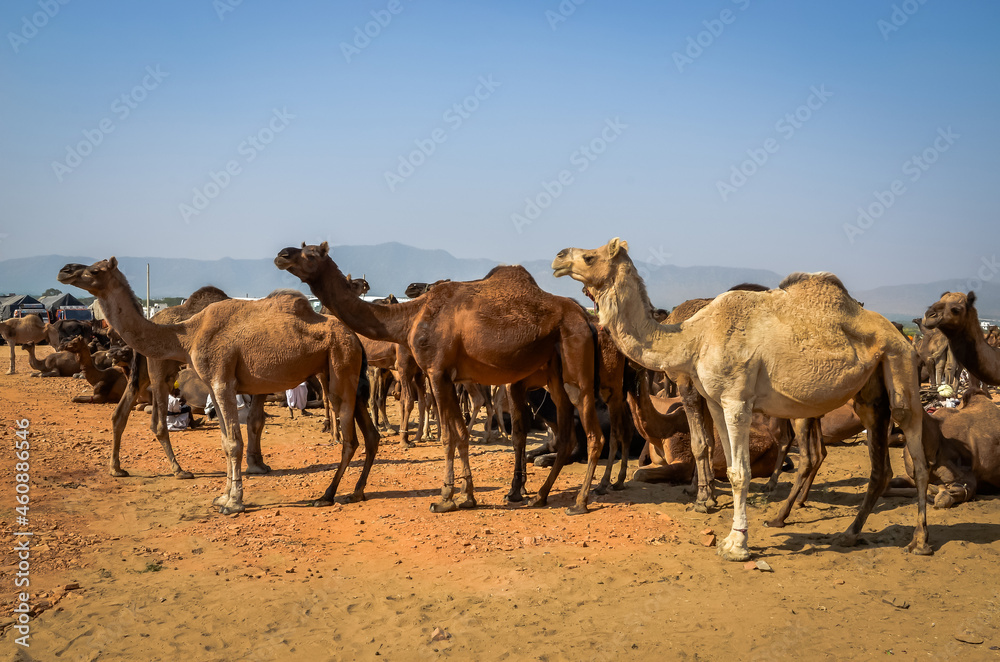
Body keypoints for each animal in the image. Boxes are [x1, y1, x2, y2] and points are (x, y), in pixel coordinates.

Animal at [58, 258, 380, 514]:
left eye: (95, 270)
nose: (65, 270)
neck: (186, 334)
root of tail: (354, 339)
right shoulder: (214, 385)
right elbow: (226, 441)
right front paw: (224, 496)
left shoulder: (223, 381)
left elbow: (236, 441)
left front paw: (235, 503)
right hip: (343, 374)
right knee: (370, 435)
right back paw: (356, 492)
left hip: (340, 368)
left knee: (351, 439)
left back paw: (327, 495)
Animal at [275, 242, 605, 515]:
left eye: (311, 253)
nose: (282, 254)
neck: (410, 316)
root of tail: (587, 318)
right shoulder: (446, 376)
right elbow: (459, 434)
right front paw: (467, 496)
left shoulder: (436, 372)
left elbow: (449, 435)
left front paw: (445, 498)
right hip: (554, 374)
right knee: (565, 433)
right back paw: (539, 496)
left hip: (578, 369)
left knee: (593, 433)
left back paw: (579, 502)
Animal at [552, 238, 930, 561]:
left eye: (590, 257)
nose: (558, 257)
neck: (693, 337)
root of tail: (899, 334)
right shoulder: (716, 402)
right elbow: (726, 462)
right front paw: (725, 530)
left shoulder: (737, 400)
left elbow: (741, 472)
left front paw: (737, 544)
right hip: (871, 393)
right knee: (880, 467)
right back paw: (849, 533)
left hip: (901, 366)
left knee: (916, 450)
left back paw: (919, 541)